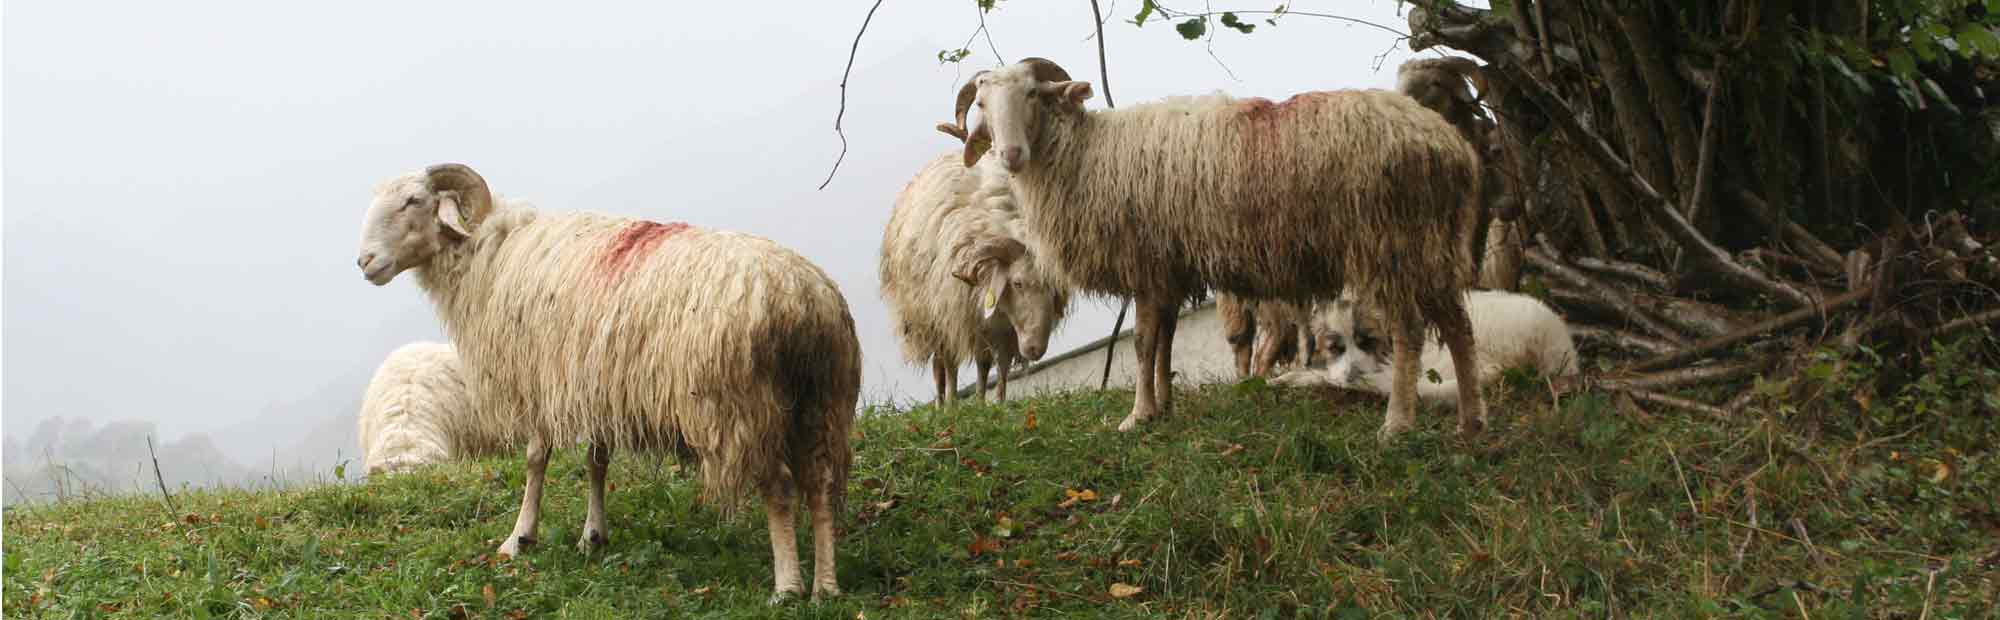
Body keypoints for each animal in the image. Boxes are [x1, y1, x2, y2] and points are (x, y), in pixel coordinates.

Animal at [880, 152, 1072, 404]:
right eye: (1017, 283)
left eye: (1054, 291)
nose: (1035, 349)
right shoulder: (955, 317)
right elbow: (952, 367)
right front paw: (953, 404)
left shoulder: (1002, 330)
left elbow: (994, 366)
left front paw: (993, 402)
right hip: (930, 318)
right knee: (941, 366)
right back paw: (942, 403)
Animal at [944, 55, 1496, 438]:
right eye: (982, 105)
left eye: (1033, 94)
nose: (1010, 154)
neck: (1082, 156)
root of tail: (1450, 145)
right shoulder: (1169, 267)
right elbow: (1164, 342)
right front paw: (1163, 406)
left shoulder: (1147, 262)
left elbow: (1144, 344)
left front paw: (1137, 416)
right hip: (1431, 246)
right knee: (1459, 327)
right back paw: (1471, 423)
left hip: (1390, 242)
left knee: (1409, 333)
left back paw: (1397, 424)